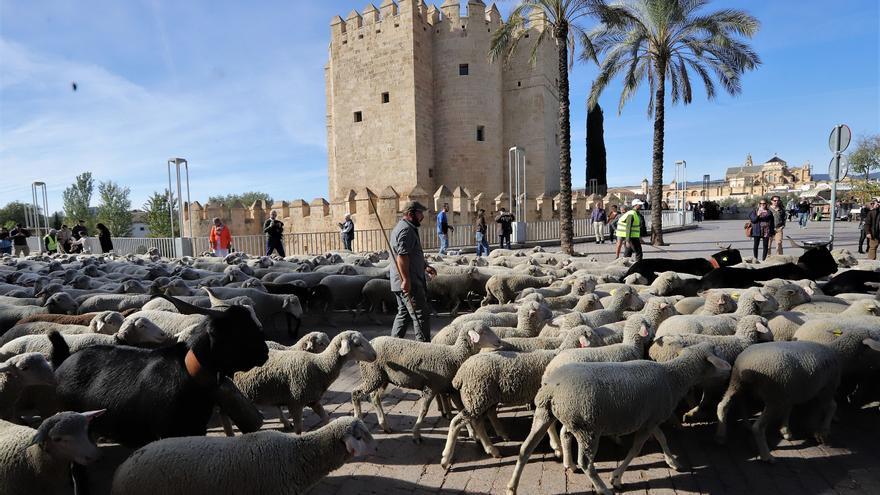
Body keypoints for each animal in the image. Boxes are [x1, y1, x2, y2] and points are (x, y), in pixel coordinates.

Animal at [54, 294, 268, 450]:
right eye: (240, 331)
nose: (265, 352)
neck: (188, 373)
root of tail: (64, 360)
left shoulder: (195, 428)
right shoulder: (168, 431)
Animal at [232, 334, 372, 434]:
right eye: (357, 344)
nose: (374, 355)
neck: (319, 364)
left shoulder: (312, 399)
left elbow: (325, 418)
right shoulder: (295, 401)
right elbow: (299, 430)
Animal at [352, 326, 502, 442]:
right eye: (483, 331)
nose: (499, 341)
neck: (455, 356)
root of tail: (371, 341)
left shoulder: (451, 389)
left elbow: (461, 409)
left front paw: (472, 433)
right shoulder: (431, 388)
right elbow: (424, 411)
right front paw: (416, 434)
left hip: (381, 378)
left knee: (374, 397)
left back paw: (385, 426)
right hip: (372, 375)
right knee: (356, 393)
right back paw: (357, 419)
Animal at [506, 342, 732, 494]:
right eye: (715, 355)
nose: (729, 371)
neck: (673, 377)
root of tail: (550, 389)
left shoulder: (651, 419)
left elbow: (662, 438)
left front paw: (672, 461)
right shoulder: (649, 422)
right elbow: (636, 450)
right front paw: (616, 477)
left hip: (547, 415)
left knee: (526, 449)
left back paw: (512, 486)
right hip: (587, 428)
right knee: (585, 462)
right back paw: (602, 488)